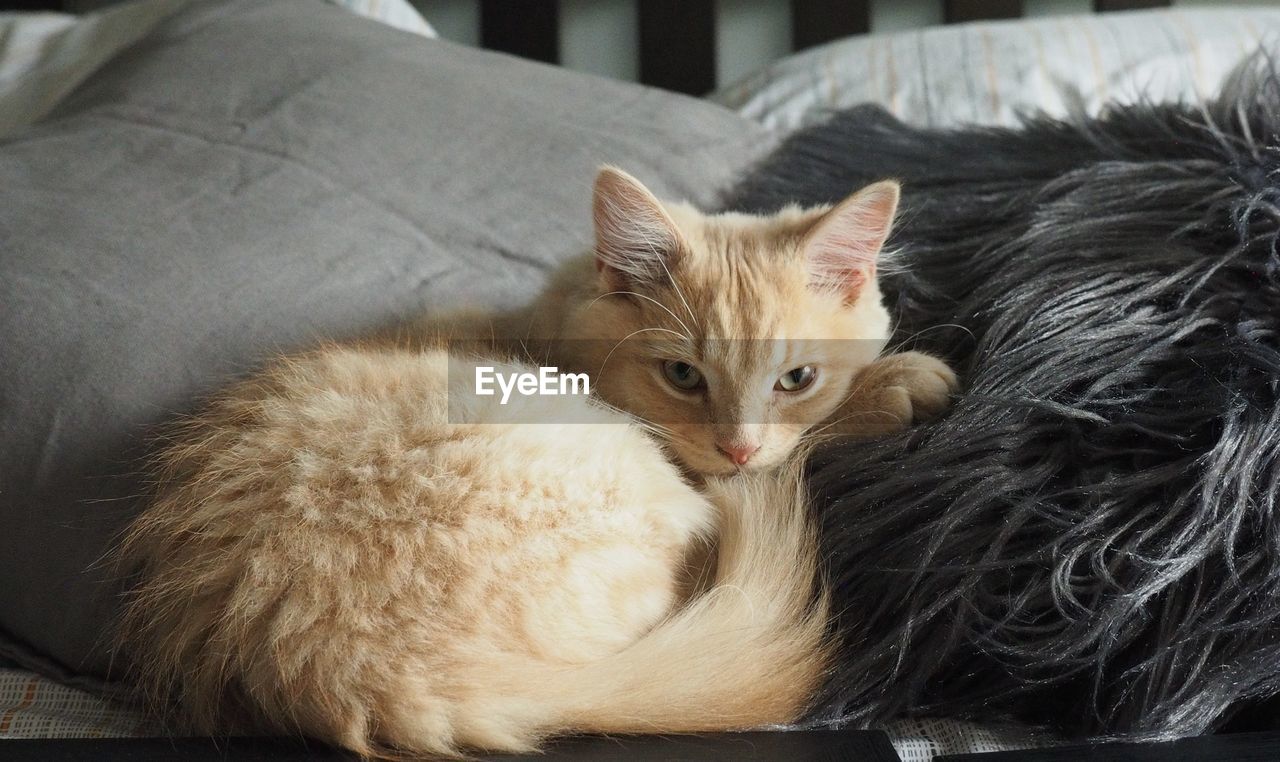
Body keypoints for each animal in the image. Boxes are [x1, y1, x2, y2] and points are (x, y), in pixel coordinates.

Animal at [117, 166, 962, 758]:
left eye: (796, 378)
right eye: (682, 375)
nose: (738, 445)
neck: (543, 328)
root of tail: (344, 666)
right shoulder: (712, 475)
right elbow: (800, 448)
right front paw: (896, 385)